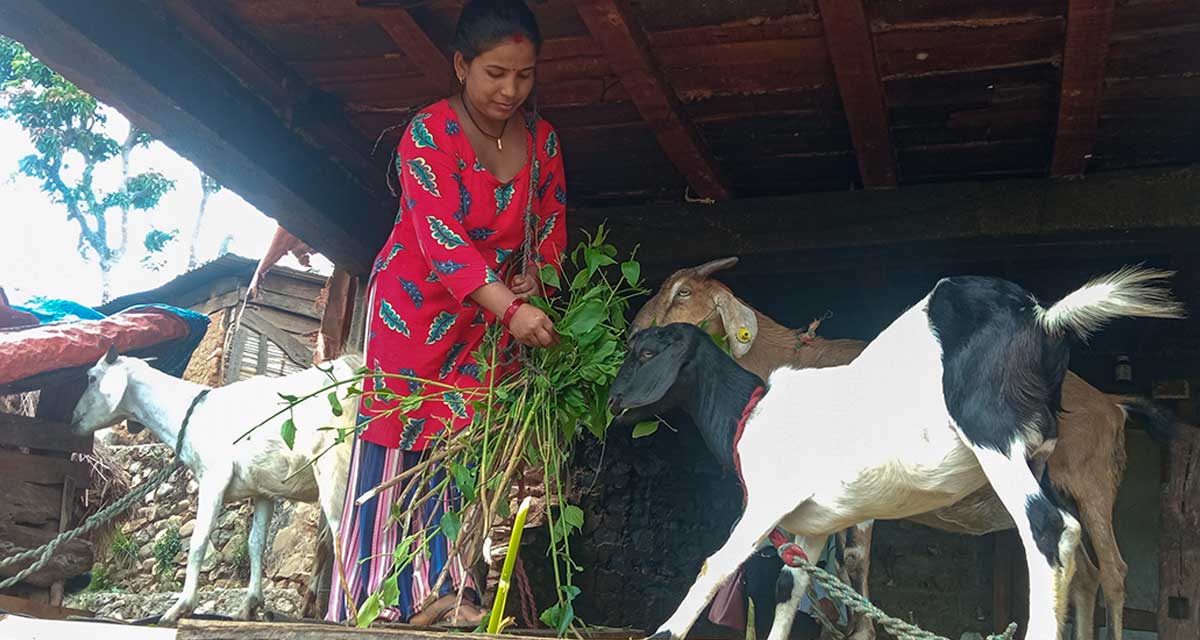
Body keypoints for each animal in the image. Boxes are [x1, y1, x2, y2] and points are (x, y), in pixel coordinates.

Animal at [70, 345, 357, 619]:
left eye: (91, 377)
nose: (73, 419)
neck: (191, 413)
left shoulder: (214, 477)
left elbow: (198, 541)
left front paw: (181, 607)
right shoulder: (263, 490)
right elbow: (256, 544)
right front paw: (249, 605)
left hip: (336, 468)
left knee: (342, 534)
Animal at [609, 265, 1180, 638]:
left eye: (647, 353)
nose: (613, 402)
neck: (751, 411)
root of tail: (1043, 318)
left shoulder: (769, 504)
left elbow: (717, 567)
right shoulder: (811, 527)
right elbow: (791, 589)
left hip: (997, 436)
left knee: (1056, 533)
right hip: (1037, 460)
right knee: (1078, 562)